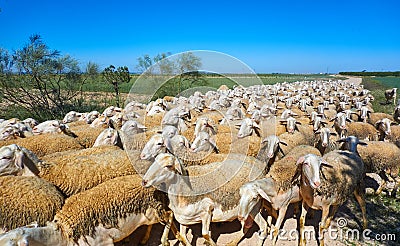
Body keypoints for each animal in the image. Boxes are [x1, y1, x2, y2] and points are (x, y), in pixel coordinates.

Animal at [0, 175, 178, 246]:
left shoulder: (104, 243)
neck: (63, 235)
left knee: (170, 215)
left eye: (10, 245)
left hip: (154, 211)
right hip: (151, 212)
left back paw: (167, 240)